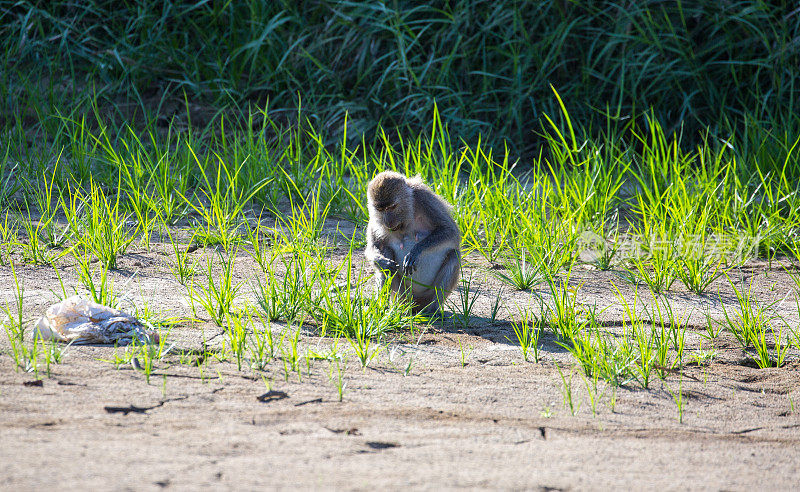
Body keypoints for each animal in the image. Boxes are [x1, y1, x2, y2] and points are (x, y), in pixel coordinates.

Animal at [364, 171, 460, 314]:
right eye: (380, 209)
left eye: (392, 206)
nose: (387, 222)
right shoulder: (374, 219)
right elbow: (374, 247)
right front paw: (382, 261)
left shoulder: (424, 197)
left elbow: (450, 231)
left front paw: (416, 251)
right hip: (402, 295)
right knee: (386, 252)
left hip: (427, 296)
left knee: (454, 255)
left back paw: (432, 310)